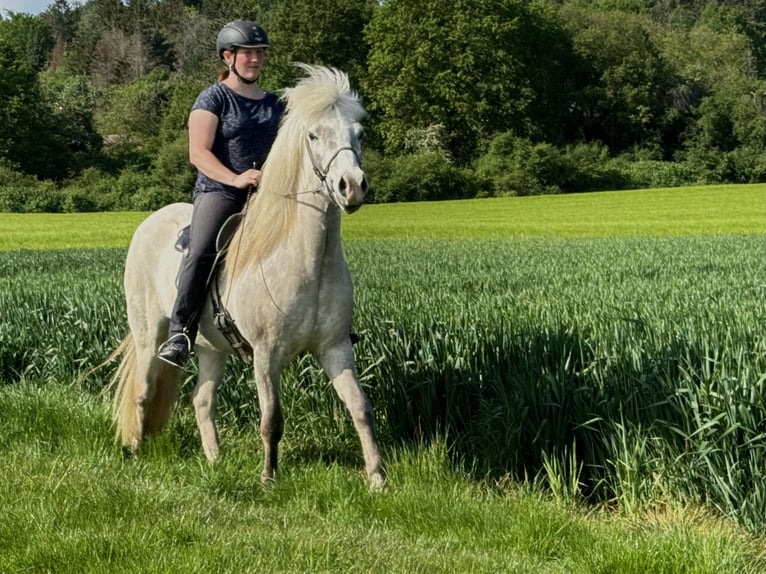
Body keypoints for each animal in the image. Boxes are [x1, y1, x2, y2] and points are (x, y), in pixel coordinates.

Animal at [111, 64, 388, 490]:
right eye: (313, 135)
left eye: (358, 133)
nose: (352, 186)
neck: (308, 262)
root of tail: (150, 221)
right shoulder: (266, 354)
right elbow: (271, 420)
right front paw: (268, 478)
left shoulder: (335, 347)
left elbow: (360, 408)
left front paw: (376, 478)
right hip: (149, 334)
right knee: (144, 390)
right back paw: (137, 451)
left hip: (210, 348)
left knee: (201, 400)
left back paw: (215, 460)